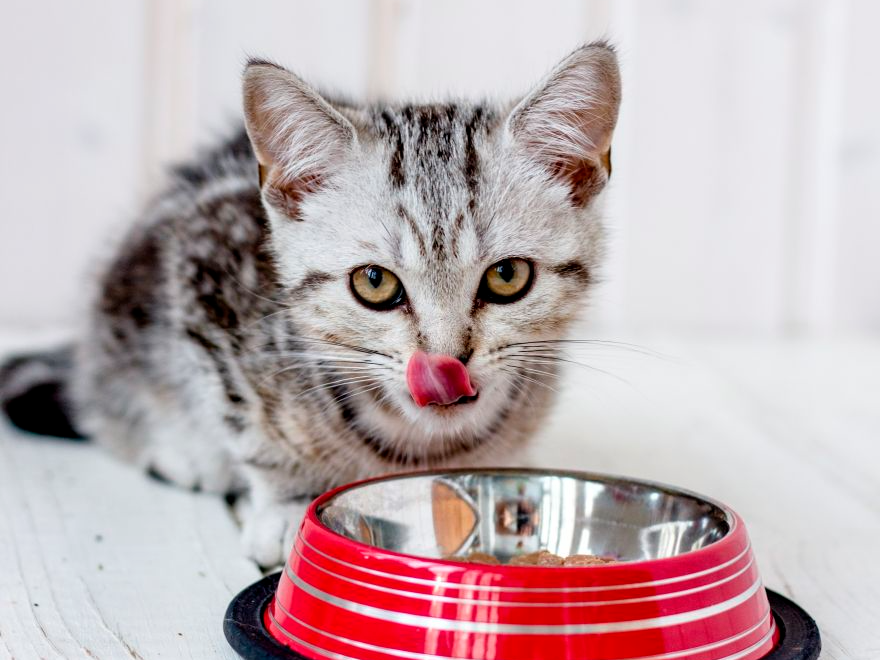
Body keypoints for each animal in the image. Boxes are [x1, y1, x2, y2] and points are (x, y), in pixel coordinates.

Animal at [0, 42, 624, 568]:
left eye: (507, 276)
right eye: (374, 283)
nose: (445, 362)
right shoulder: (202, 273)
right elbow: (245, 423)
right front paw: (286, 502)